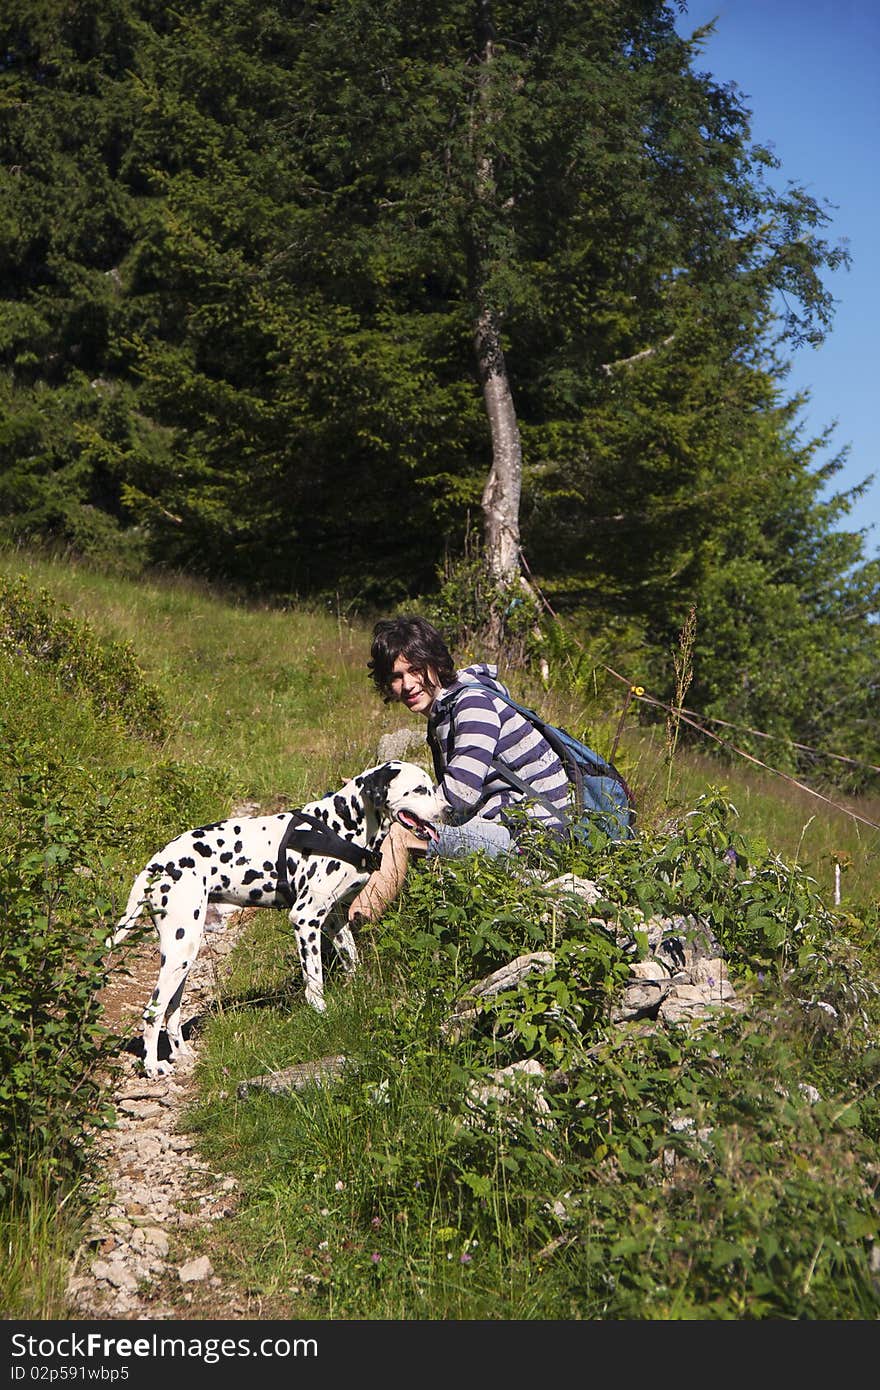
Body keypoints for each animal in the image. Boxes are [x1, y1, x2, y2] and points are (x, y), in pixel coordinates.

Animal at [106, 761, 442, 1073]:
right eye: (419, 789)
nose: (448, 809)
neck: (343, 824)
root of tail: (154, 865)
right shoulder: (305, 919)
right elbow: (314, 981)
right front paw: (321, 1014)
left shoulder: (335, 918)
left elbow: (352, 959)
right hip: (180, 951)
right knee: (152, 1011)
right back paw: (152, 1065)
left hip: (184, 955)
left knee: (171, 1012)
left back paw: (182, 1054)